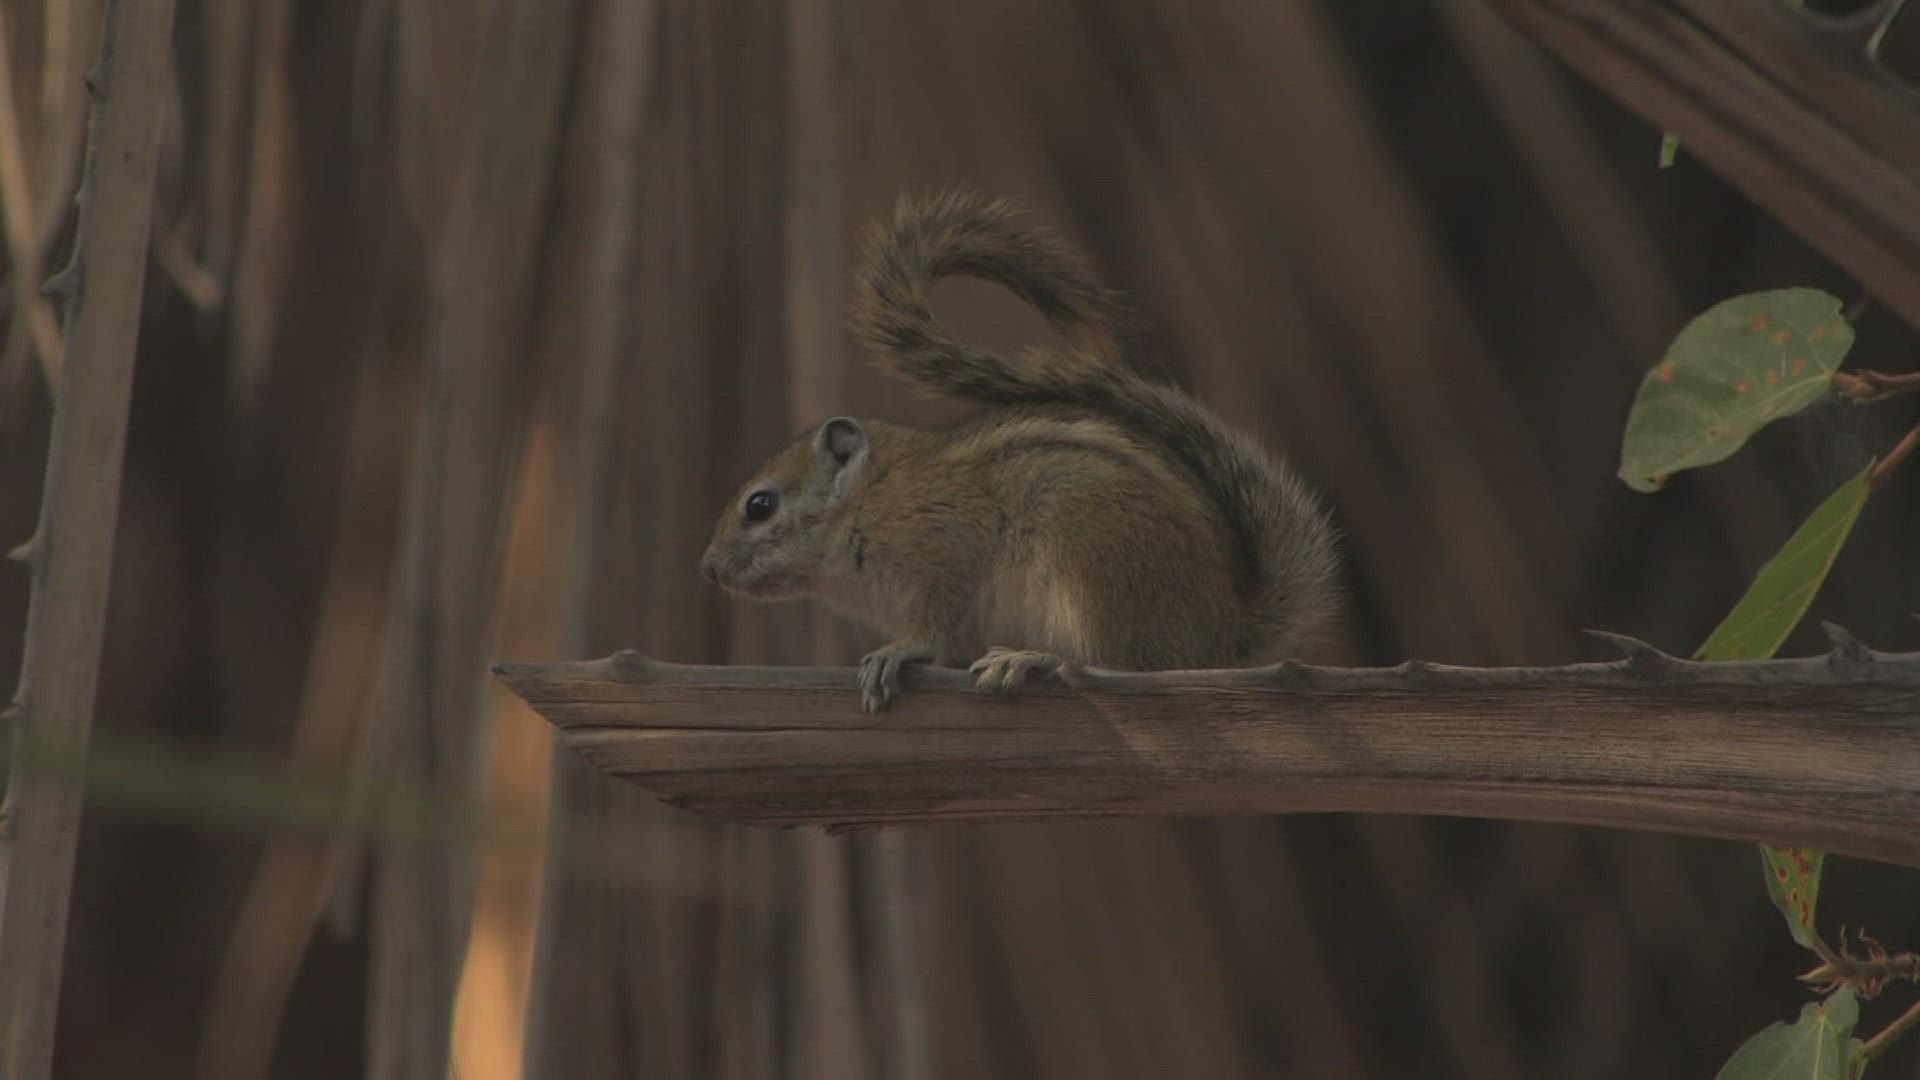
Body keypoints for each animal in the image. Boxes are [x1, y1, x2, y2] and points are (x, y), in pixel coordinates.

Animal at [699, 191, 1341, 712]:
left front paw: (897, 652)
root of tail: (1223, 630)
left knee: (1120, 666)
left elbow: (936, 626)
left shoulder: (948, 551)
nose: (708, 569)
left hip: (1090, 560)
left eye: (760, 506)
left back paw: (1033, 659)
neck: (869, 500)